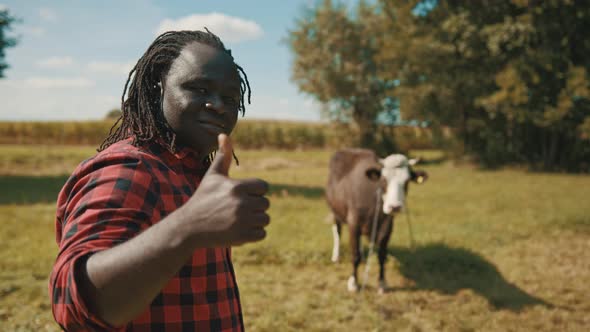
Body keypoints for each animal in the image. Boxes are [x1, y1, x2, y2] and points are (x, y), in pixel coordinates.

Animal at [326, 149, 428, 292]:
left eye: (407, 181)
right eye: (384, 179)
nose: (395, 207)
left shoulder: (387, 227)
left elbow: (382, 255)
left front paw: (382, 282)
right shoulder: (353, 223)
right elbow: (355, 255)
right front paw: (353, 283)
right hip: (335, 210)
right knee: (337, 231)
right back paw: (336, 256)